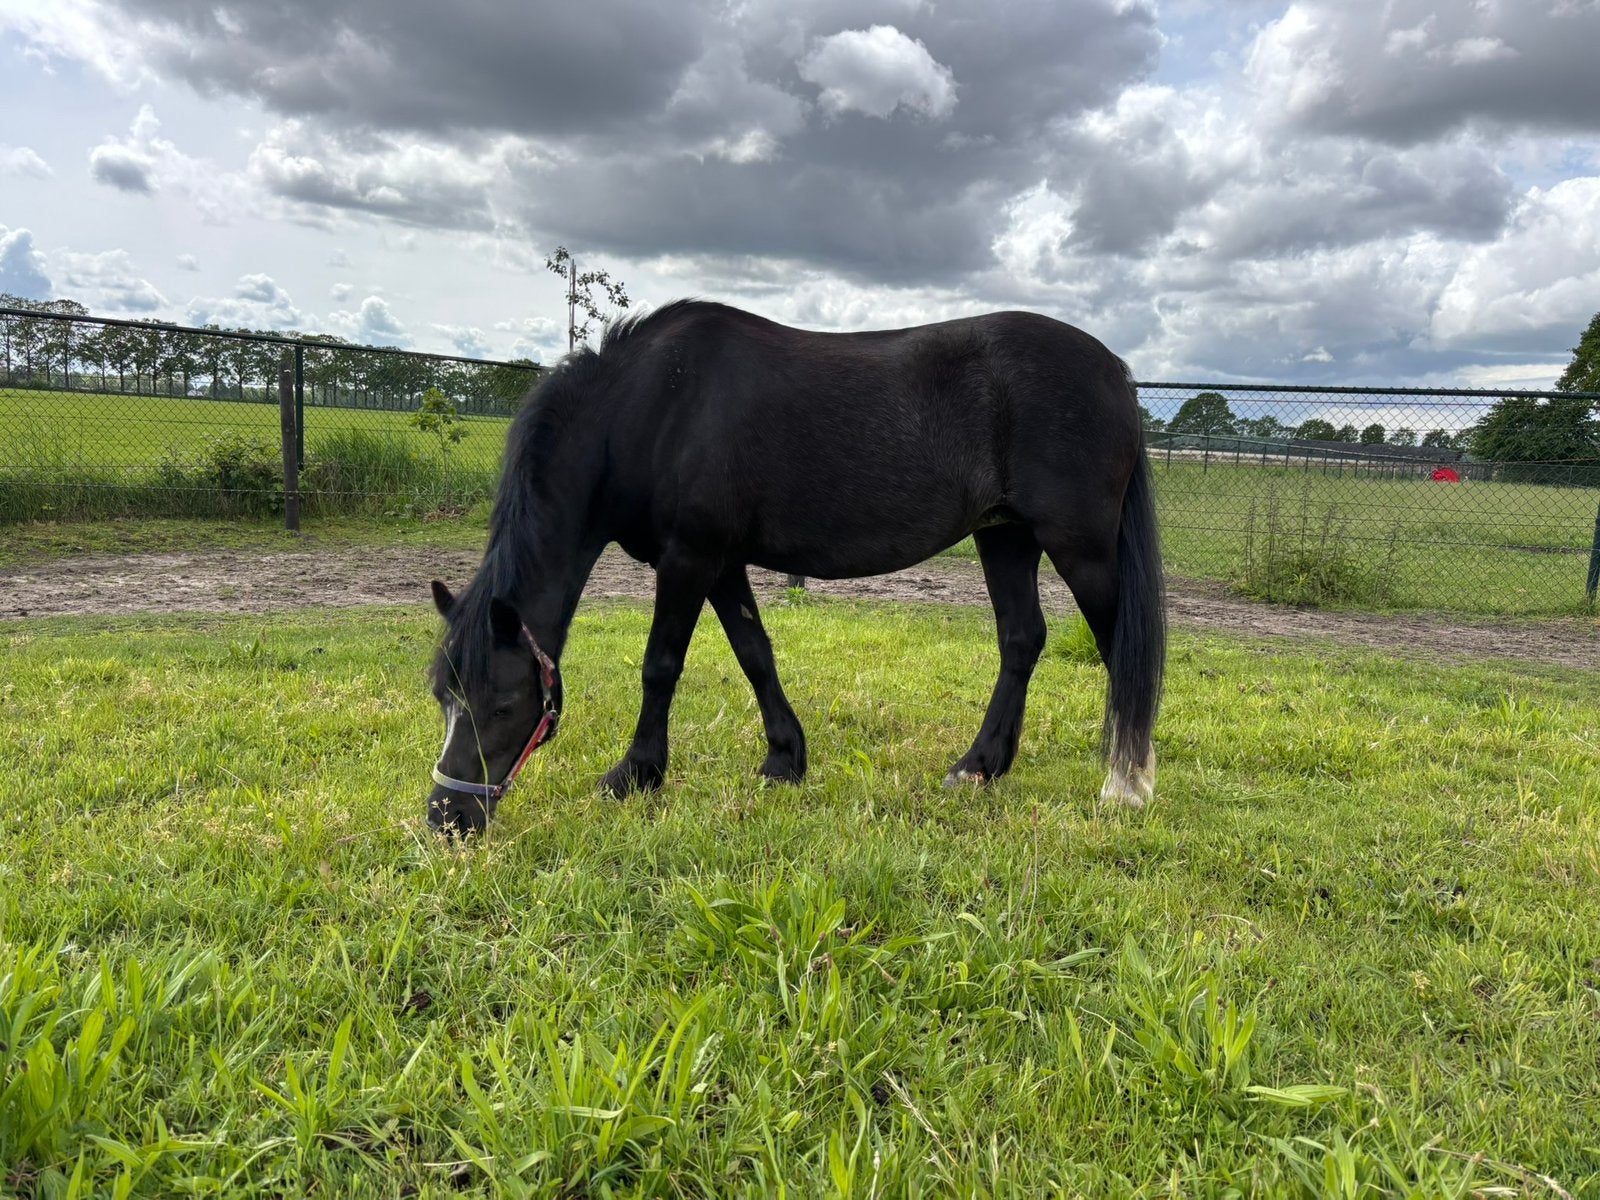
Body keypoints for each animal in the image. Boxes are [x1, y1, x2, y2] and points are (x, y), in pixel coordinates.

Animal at [425, 300, 1165, 835]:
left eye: (503, 703)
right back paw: (979, 768)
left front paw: (634, 774)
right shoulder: (721, 563)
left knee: (1118, 650)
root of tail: (1115, 371)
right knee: (1022, 640)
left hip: (1080, 547)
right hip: (1005, 538)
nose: (446, 818)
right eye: (443, 697)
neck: (654, 406)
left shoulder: (689, 558)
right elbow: (756, 653)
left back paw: (1125, 786)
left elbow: (661, 665)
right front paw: (784, 759)